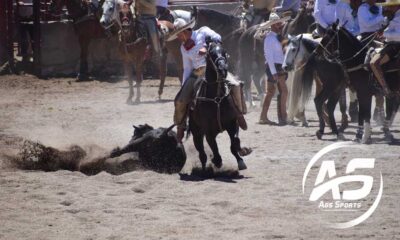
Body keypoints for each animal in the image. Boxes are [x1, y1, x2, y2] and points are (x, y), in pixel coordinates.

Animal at [189, 42, 248, 172]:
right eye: (212, 54)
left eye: (224, 52)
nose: (222, 69)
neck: (217, 99)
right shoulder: (208, 132)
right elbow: (214, 148)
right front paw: (217, 161)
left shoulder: (232, 123)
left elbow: (235, 142)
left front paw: (241, 157)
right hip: (196, 133)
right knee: (202, 153)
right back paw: (205, 169)